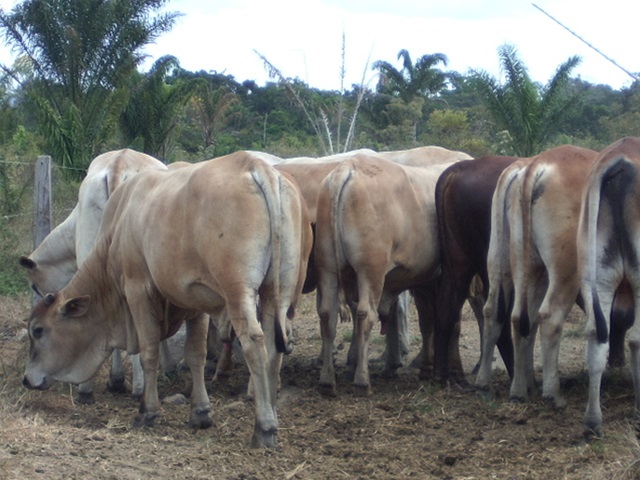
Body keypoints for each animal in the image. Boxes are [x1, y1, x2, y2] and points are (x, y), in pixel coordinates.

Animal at [23, 152, 314, 448]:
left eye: (38, 330)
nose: (26, 379)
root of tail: (257, 167)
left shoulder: (137, 290)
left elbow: (148, 352)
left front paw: (147, 410)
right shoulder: (196, 303)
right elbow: (195, 355)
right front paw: (200, 412)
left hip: (238, 290)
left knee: (254, 343)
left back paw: (263, 426)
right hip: (278, 291)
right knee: (274, 346)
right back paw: (272, 413)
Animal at [316, 153, 456, 394]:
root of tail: (347, 168)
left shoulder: (423, 278)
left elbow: (426, 320)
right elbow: (436, 320)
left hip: (328, 269)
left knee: (327, 316)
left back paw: (327, 380)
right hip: (370, 271)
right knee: (365, 315)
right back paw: (362, 380)